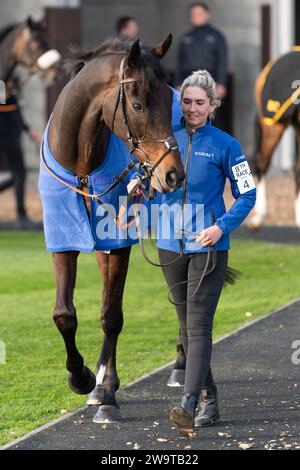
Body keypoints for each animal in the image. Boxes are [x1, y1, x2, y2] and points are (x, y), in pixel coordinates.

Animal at [43, 33, 184, 422]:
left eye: (168, 100)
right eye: (137, 104)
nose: (172, 174)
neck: (81, 164)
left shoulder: (119, 240)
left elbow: (111, 315)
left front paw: (105, 391)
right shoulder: (64, 236)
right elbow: (65, 314)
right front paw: (82, 378)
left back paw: (182, 364)